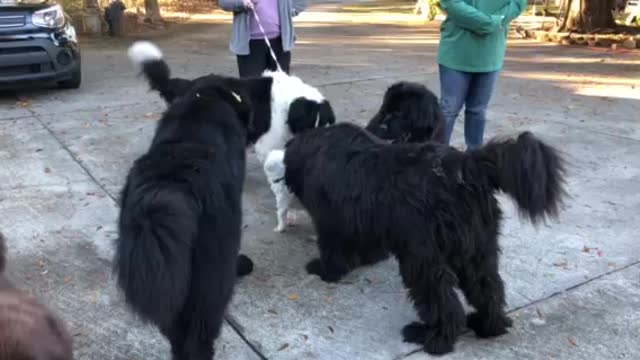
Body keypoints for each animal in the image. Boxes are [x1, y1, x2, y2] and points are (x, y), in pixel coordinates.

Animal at [282, 123, 568, 354]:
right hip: (479, 249)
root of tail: (467, 167)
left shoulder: (331, 221)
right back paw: (488, 325)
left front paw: (325, 271)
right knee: (489, 288)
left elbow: (332, 249)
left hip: (423, 258)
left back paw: (433, 338)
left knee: (445, 303)